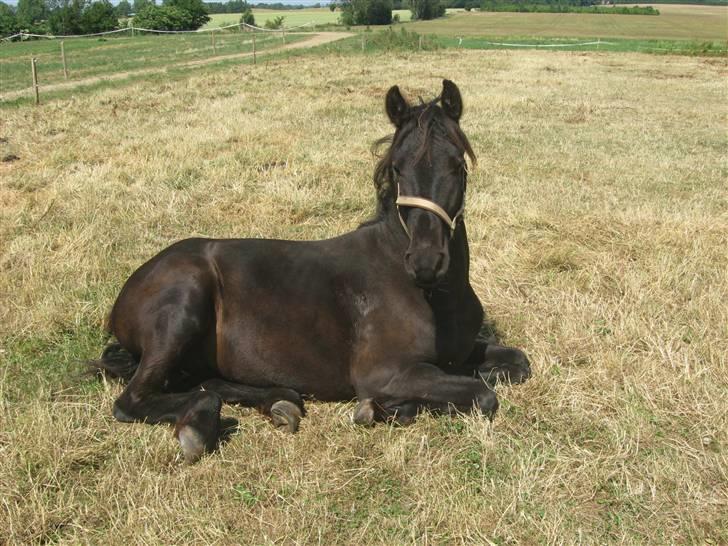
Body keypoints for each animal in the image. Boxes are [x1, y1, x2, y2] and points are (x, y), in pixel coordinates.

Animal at [94, 79, 532, 460]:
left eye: (457, 165)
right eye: (398, 168)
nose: (425, 263)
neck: (434, 296)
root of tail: (128, 290)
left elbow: (517, 364)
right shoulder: (384, 372)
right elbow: (482, 394)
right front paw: (383, 408)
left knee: (205, 381)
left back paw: (279, 402)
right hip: (182, 308)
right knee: (133, 400)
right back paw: (199, 427)